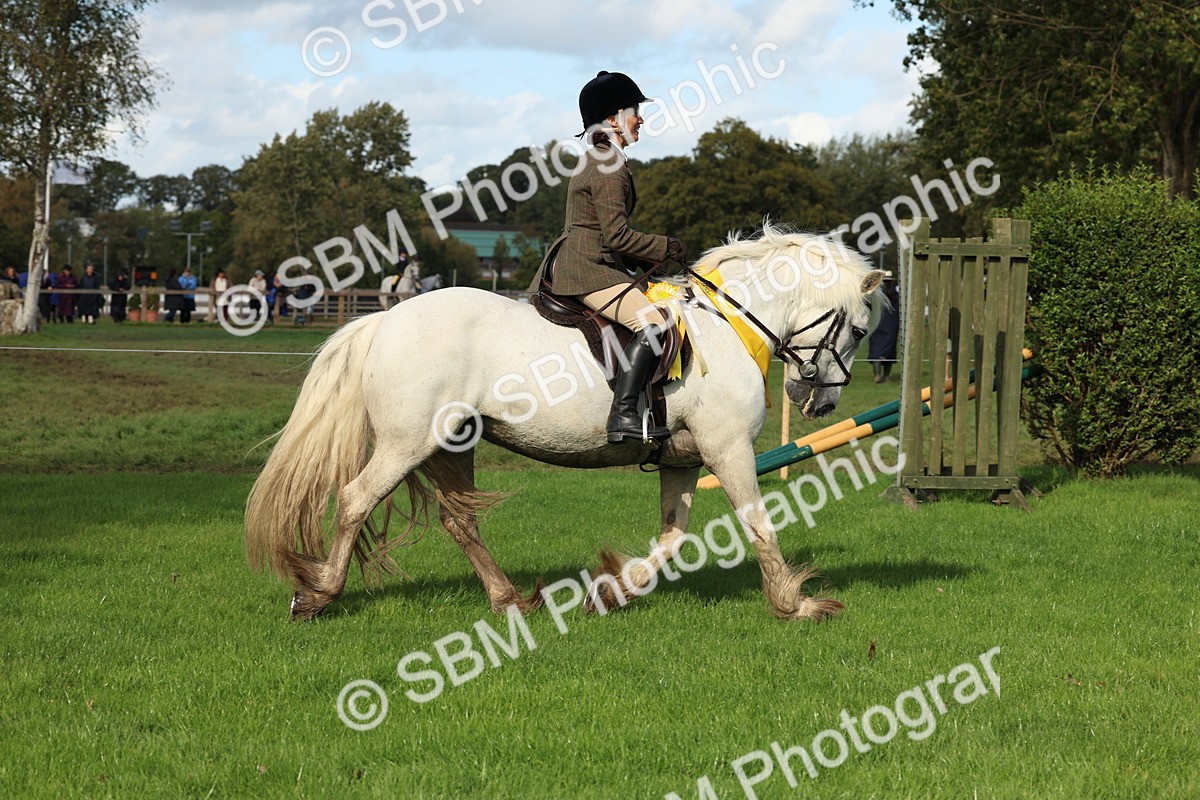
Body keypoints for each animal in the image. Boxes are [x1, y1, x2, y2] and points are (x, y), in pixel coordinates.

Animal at [245, 224, 885, 622]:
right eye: (857, 329)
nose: (820, 402)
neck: (727, 325)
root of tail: (385, 320)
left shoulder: (682, 460)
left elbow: (673, 538)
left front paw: (612, 592)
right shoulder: (727, 449)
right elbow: (758, 524)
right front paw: (796, 604)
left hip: (452, 444)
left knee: (460, 521)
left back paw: (509, 600)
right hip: (408, 443)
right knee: (356, 499)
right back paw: (318, 595)